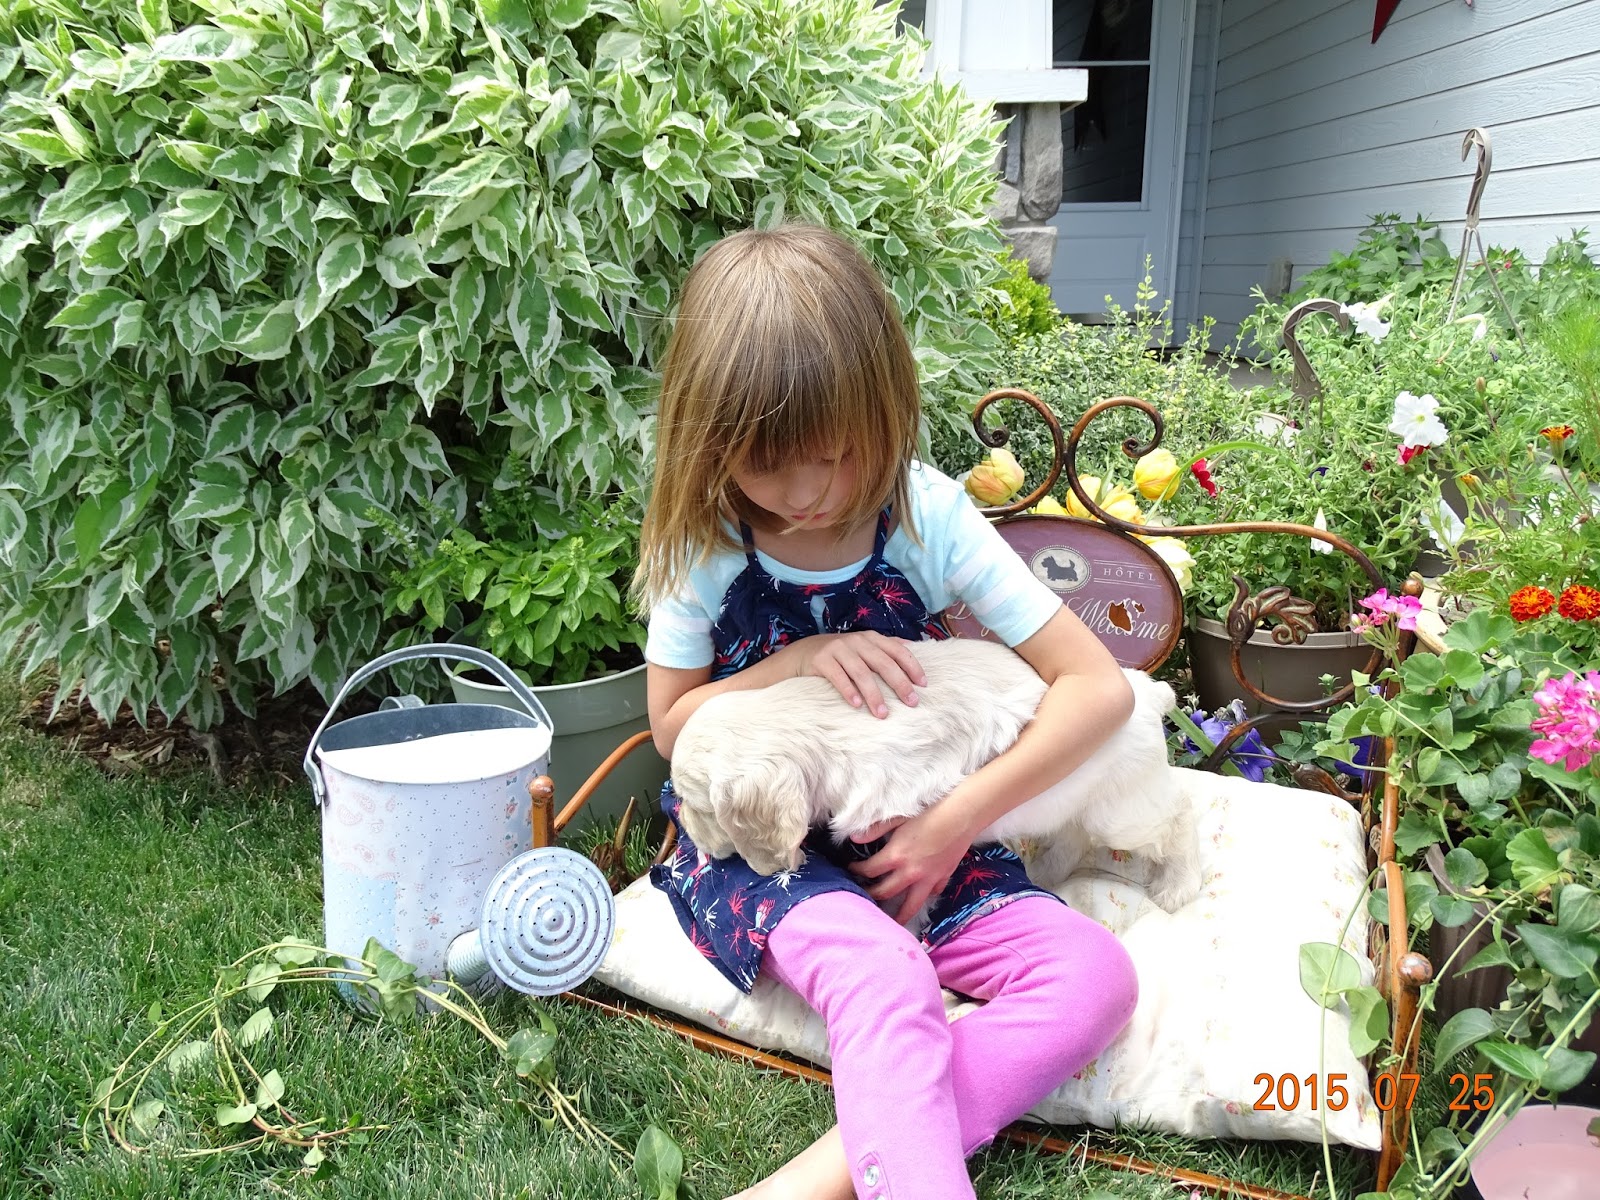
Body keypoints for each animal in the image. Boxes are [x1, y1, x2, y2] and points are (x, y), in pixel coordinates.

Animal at [665, 640, 1203, 908]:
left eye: (699, 806)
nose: (684, 825)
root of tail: (1148, 692)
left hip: (1124, 810)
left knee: (1179, 819)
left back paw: (1178, 885)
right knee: (1073, 836)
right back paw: (1045, 871)